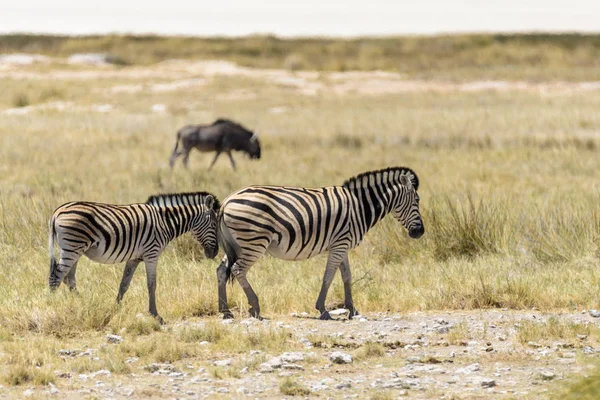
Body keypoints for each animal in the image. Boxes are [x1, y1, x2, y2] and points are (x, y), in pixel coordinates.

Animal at [47, 192, 220, 324]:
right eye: (214, 224)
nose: (214, 253)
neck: (165, 222)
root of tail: (57, 211)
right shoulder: (152, 254)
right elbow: (152, 284)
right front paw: (156, 315)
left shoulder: (135, 258)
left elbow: (124, 284)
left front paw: (115, 309)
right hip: (72, 247)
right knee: (56, 277)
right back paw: (52, 305)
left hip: (76, 249)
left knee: (69, 278)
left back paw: (83, 303)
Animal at [216, 167, 422, 320]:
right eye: (417, 200)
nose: (420, 232)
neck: (360, 206)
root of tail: (226, 201)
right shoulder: (340, 244)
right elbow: (328, 276)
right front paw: (322, 309)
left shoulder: (343, 245)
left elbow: (347, 277)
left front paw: (352, 310)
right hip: (255, 241)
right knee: (238, 269)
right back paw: (255, 307)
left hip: (238, 244)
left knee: (222, 270)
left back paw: (225, 311)